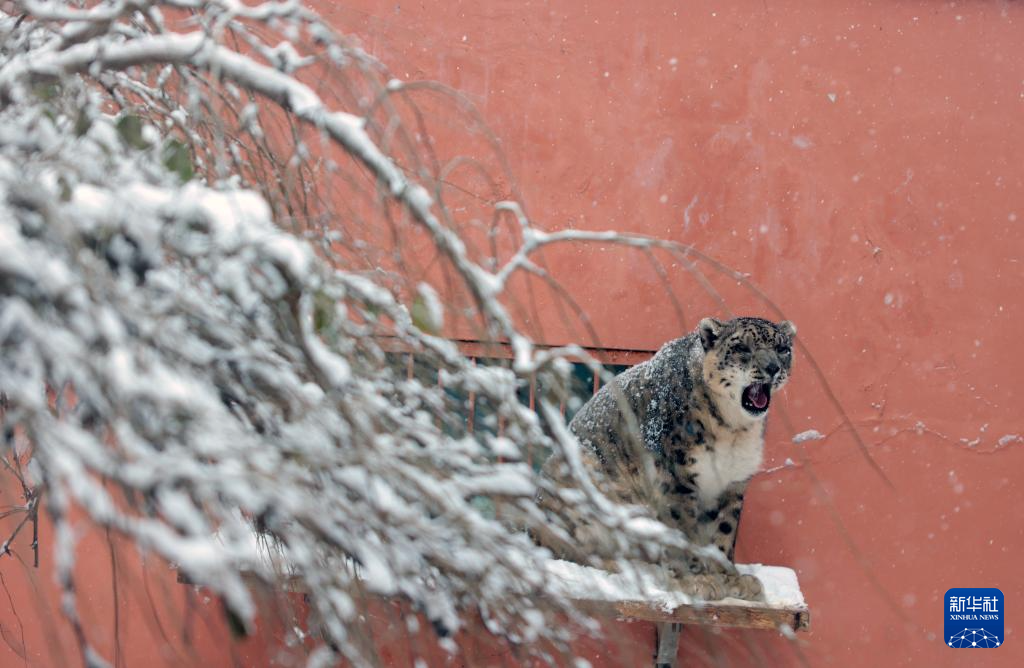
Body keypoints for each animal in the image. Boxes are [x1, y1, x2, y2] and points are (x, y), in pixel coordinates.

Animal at [544, 315, 790, 602]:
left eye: (782, 348)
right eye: (742, 347)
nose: (772, 368)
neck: (734, 429)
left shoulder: (733, 483)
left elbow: (724, 531)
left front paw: (732, 579)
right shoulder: (677, 476)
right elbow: (684, 529)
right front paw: (697, 580)